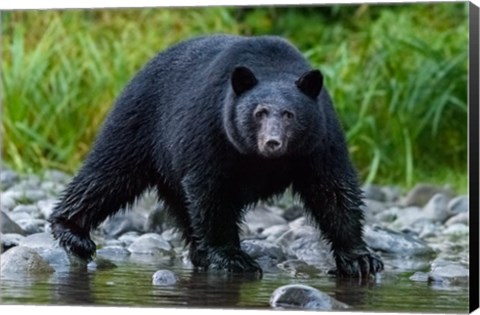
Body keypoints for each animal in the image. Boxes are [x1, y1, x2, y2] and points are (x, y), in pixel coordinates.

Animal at [49, 34, 382, 278]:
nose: (272, 142)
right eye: (259, 112)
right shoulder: (212, 129)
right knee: (108, 173)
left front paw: (360, 259)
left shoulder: (320, 140)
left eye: (290, 114)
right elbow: (212, 191)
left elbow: (333, 191)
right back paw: (72, 232)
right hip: (140, 121)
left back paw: (198, 251)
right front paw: (232, 257)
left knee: (177, 202)